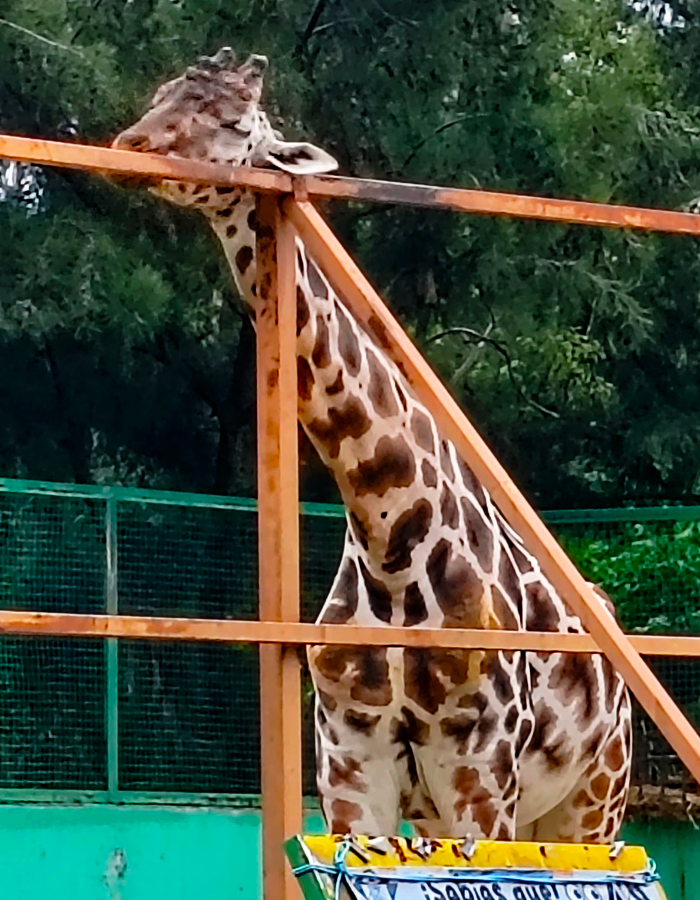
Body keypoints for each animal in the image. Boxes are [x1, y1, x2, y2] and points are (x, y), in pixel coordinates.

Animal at [112, 48, 632, 842]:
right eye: (160, 96)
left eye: (234, 123)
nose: (128, 147)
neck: (391, 542)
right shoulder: (351, 771)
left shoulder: (481, 780)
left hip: (592, 799)